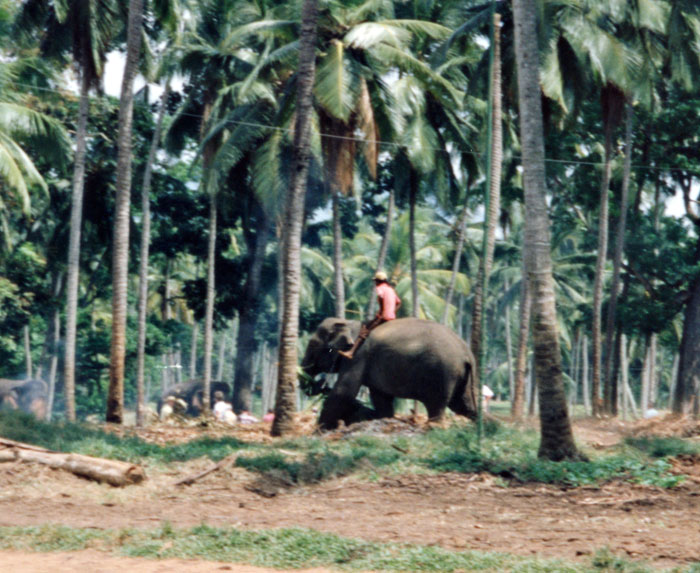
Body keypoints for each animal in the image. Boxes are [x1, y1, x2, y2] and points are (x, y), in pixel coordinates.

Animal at [300, 317, 478, 429]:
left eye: (313, 346)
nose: (321, 383)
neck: (349, 322)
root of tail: (467, 352)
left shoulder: (357, 355)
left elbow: (343, 392)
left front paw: (319, 430)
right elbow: (381, 399)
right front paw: (383, 417)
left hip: (442, 373)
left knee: (438, 405)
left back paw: (434, 426)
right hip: (460, 376)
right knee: (464, 405)